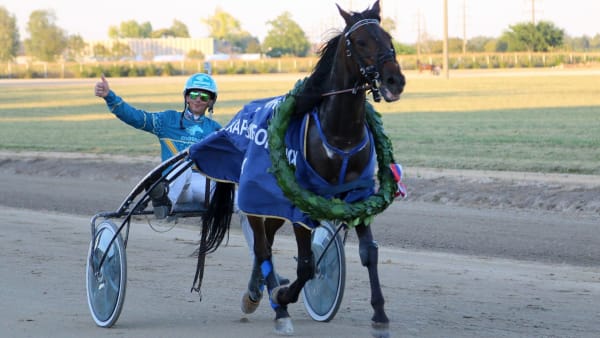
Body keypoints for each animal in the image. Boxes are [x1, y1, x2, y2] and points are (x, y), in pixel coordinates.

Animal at [188, 1, 404, 336]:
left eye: (388, 37)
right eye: (360, 42)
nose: (395, 80)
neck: (339, 133)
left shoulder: (359, 196)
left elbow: (369, 253)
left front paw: (380, 315)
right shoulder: (303, 202)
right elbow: (307, 265)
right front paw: (283, 298)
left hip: (276, 206)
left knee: (265, 241)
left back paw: (255, 292)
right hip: (257, 199)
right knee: (262, 247)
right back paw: (275, 306)